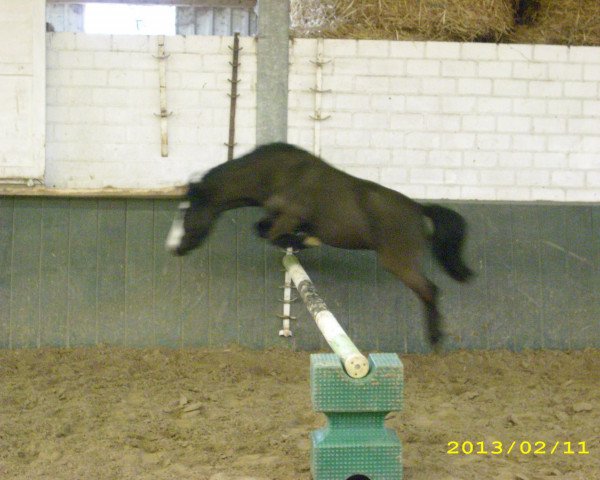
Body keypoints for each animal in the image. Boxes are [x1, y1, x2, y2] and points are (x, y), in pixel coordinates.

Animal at [168, 142, 474, 348]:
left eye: (187, 211)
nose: (175, 248)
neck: (276, 173)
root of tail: (418, 209)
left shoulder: (290, 215)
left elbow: (271, 235)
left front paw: (304, 241)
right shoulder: (277, 216)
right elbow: (262, 230)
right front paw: (300, 242)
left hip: (398, 261)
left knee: (429, 290)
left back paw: (434, 339)